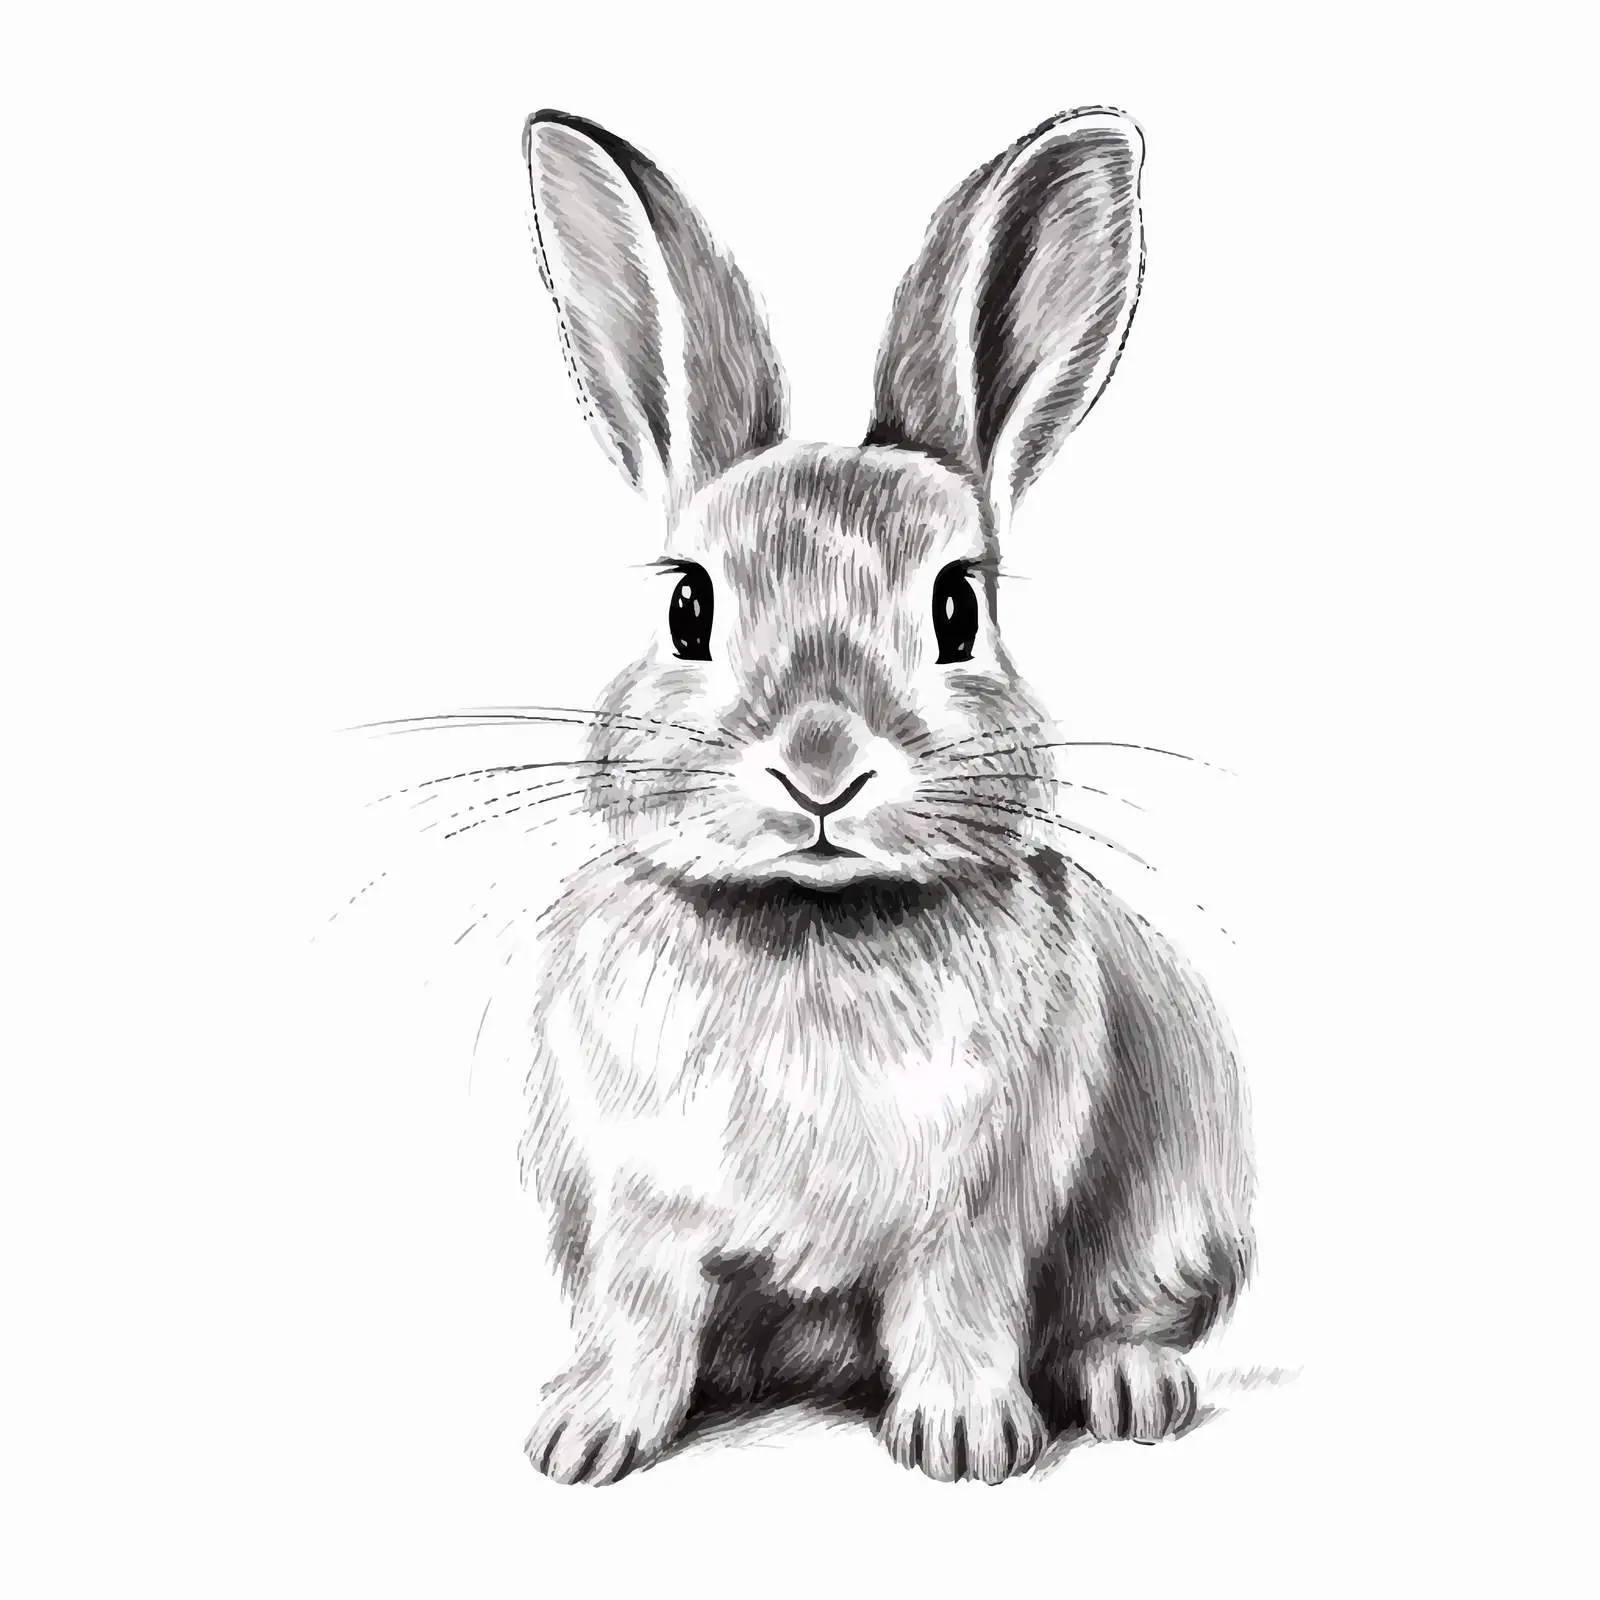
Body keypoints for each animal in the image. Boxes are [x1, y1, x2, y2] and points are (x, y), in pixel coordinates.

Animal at [516, 106, 1254, 1485]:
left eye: (957, 607)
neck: (811, 925)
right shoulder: (634, 1204)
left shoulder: (979, 1206)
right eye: (687, 606)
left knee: (1121, 1313)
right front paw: (585, 1437)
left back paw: (1132, 1388)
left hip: (1182, 1210)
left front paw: (968, 1440)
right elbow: (641, 1317)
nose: (820, 765)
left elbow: (958, 1307)